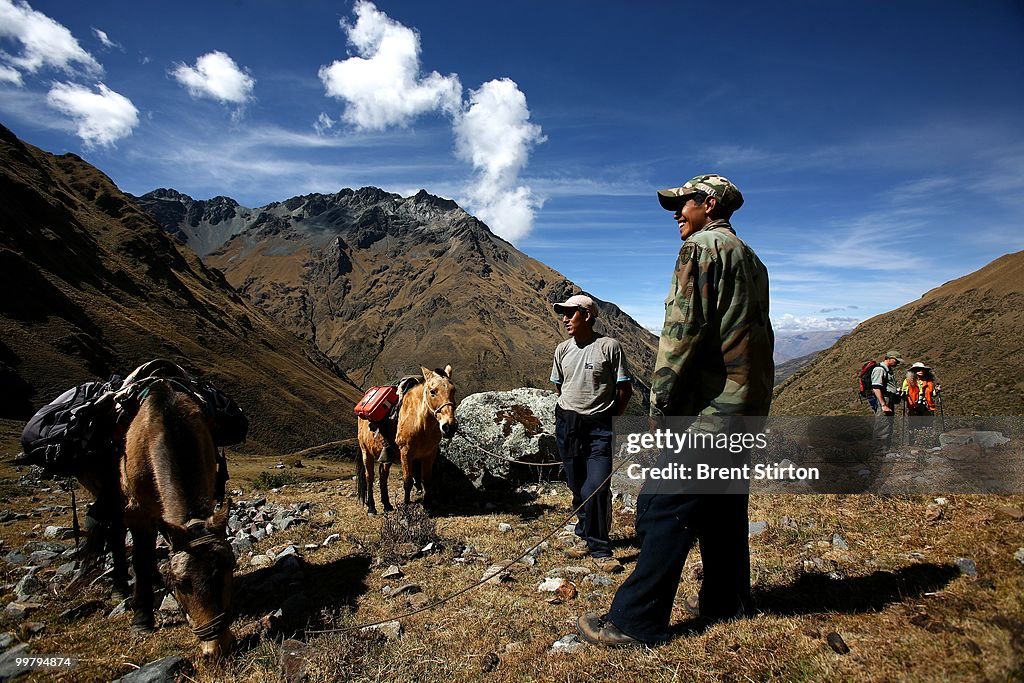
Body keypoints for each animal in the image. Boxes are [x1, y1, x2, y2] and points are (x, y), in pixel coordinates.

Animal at [118, 378, 234, 655]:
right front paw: (142, 620)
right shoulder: (137, 511)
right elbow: (141, 558)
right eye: (180, 584)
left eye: (229, 568)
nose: (217, 647)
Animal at [358, 368, 458, 511]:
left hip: (386, 456)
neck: (421, 424)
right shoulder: (406, 453)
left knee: (383, 475)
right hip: (366, 452)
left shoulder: (429, 454)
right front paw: (406, 505)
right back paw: (371, 507)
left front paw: (427, 505)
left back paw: (387, 504)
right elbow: (407, 481)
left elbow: (426, 480)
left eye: (453, 390)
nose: (449, 427)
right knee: (369, 476)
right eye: (433, 392)